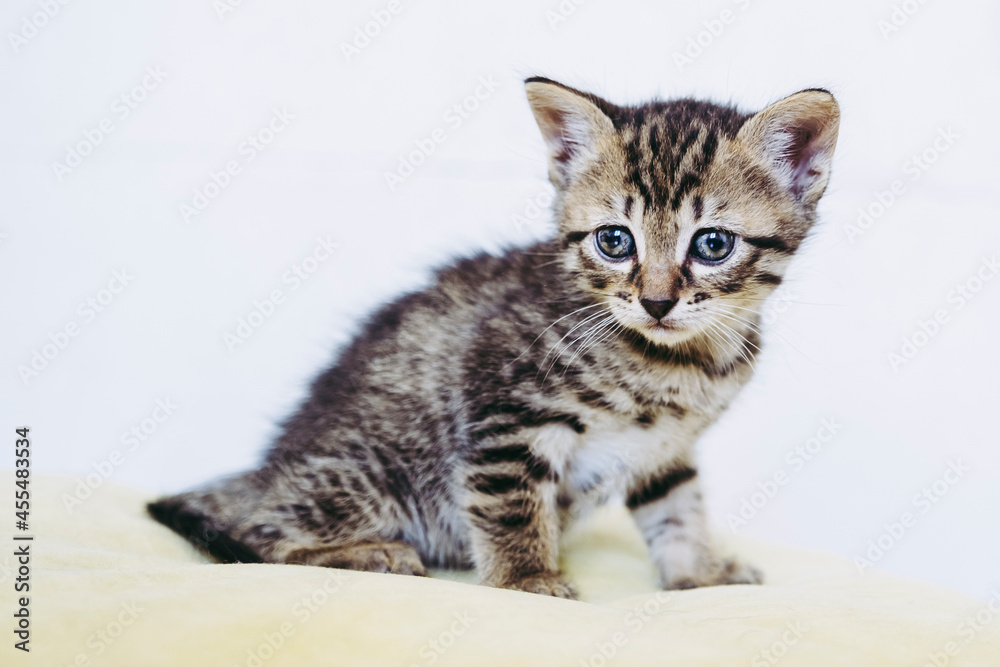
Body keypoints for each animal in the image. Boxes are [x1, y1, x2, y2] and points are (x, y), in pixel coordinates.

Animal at [146, 77, 836, 600]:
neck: (677, 361)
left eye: (712, 244)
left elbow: (679, 508)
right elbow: (512, 503)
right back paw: (365, 553)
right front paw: (528, 578)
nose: (657, 301)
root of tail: (266, 471)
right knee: (254, 535)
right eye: (615, 240)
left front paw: (700, 572)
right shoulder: (508, 413)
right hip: (371, 475)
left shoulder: (665, 448)